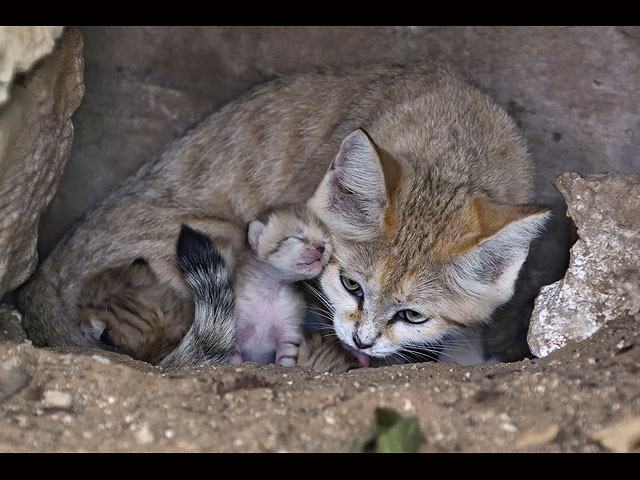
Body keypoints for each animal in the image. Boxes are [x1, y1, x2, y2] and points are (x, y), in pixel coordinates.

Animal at [234, 204, 336, 366]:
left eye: (325, 241)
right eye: (299, 238)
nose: (321, 247)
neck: (270, 292)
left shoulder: (288, 336)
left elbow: (286, 362)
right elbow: (234, 359)